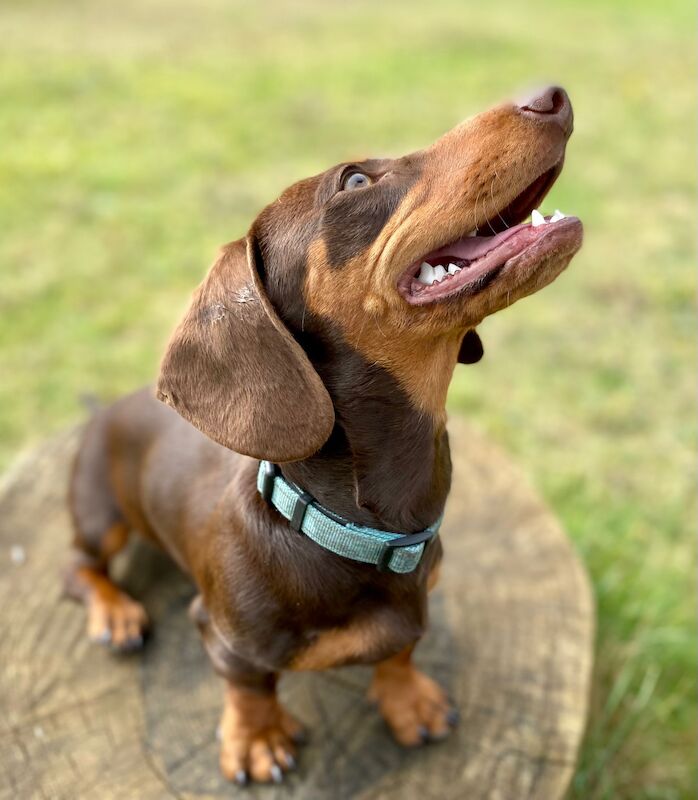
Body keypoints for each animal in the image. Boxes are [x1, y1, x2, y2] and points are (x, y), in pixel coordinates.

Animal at [62, 86, 580, 780]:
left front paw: (408, 701)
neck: (354, 530)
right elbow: (248, 685)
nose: (549, 96)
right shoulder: (225, 636)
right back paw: (115, 612)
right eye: (355, 180)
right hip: (99, 514)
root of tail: (106, 406)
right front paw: (257, 740)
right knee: (78, 567)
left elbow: (401, 651)